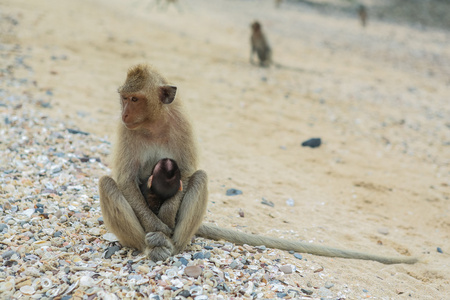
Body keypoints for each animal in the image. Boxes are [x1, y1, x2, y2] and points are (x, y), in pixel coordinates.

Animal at [99, 63, 418, 264]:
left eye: (135, 99)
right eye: (124, 98)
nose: (125, 113)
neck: (152, 123)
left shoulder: (182, 124)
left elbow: (188, 173)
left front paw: (165, 217)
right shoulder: (125, 131)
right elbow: (125, 181)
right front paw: (157, 224)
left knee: (200, 178)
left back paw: (173, 245)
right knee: (108, 184)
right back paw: (148, 245)